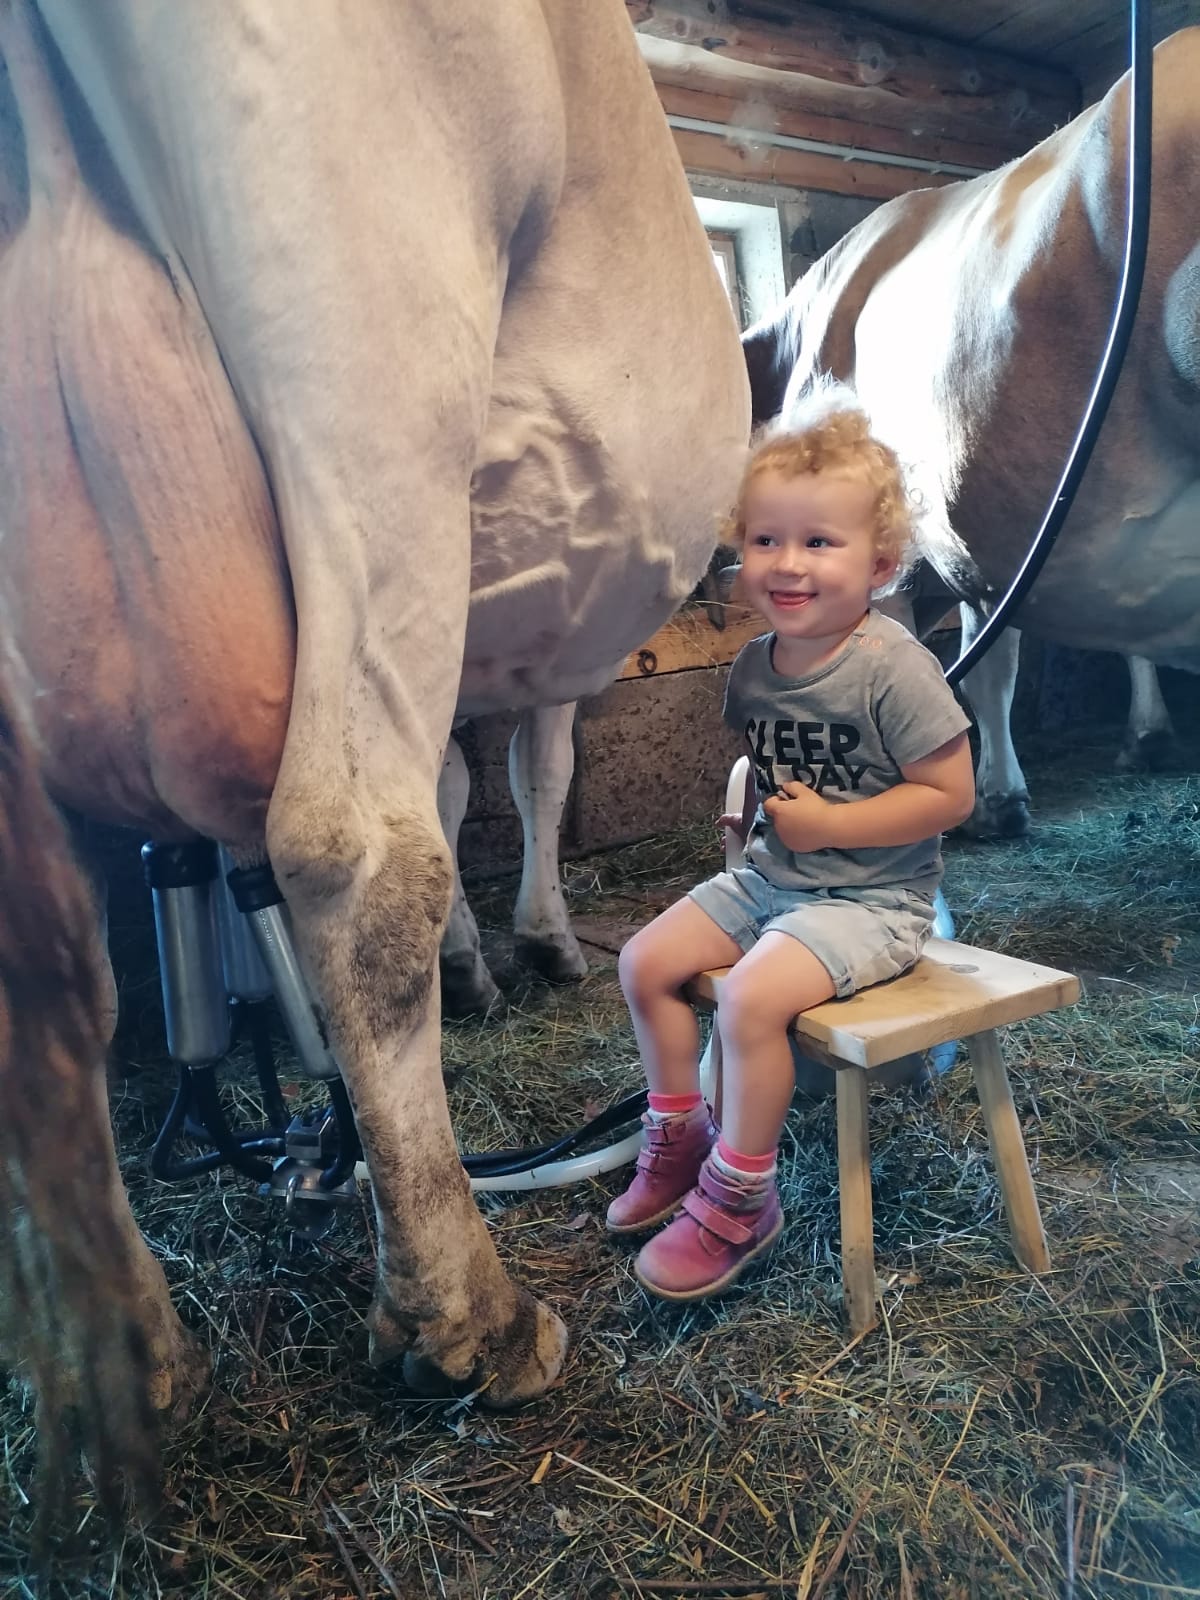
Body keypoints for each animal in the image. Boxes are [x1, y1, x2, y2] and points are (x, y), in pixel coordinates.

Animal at [0, 0, 748, 1504]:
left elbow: (465, 789)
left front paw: (481, 964)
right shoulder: (543, 668)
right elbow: (522, 785)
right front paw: (536, 945)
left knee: (39, 987)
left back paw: (135, 1374)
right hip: (373, 359)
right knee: (352, 851)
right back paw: (464, 1321)